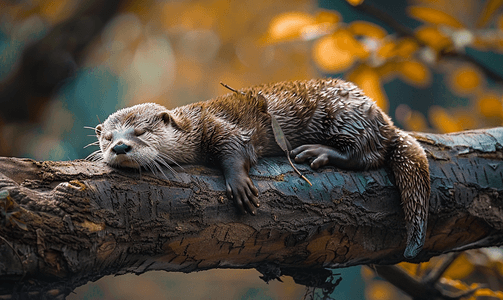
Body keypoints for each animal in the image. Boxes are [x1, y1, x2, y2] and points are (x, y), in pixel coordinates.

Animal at [88, 78, 432, 258]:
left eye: (140, 132)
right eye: (107, 138)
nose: (120, 147)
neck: (192, 126)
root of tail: (383, 117)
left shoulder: (218, 125)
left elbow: (235, 148)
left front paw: (239, 185)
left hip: (345, 116)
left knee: (367, 155)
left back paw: (316, 152)